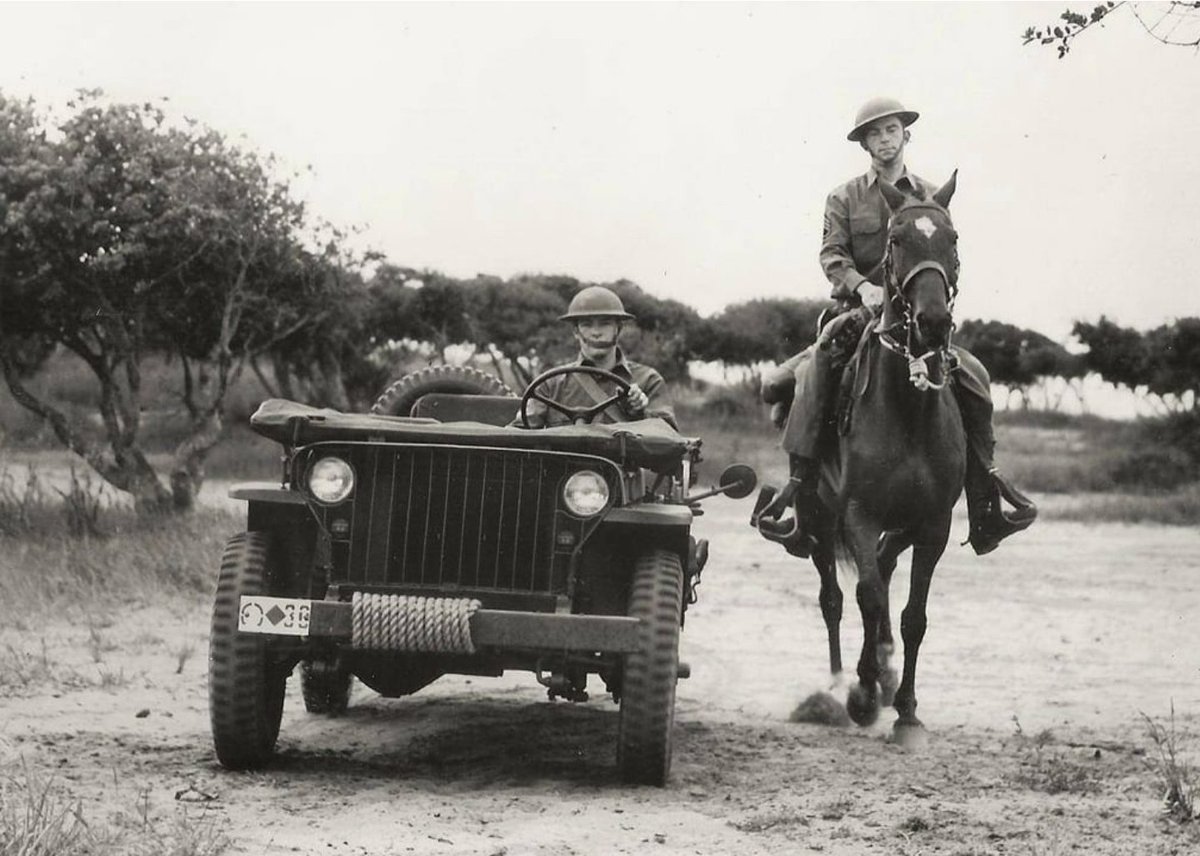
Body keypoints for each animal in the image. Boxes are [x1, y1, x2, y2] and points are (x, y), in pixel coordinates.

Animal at [801, 171, 960, 739]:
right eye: (897, 240)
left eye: (951, 238)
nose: (933, 321)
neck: (908, 411)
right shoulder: (858, 517)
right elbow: (867, 599)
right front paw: (864, 694)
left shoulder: (933, 524)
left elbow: (913, 615)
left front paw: (907, 707)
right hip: (818, 520)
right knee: (833, 599)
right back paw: (836, 685)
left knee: (886, 574)